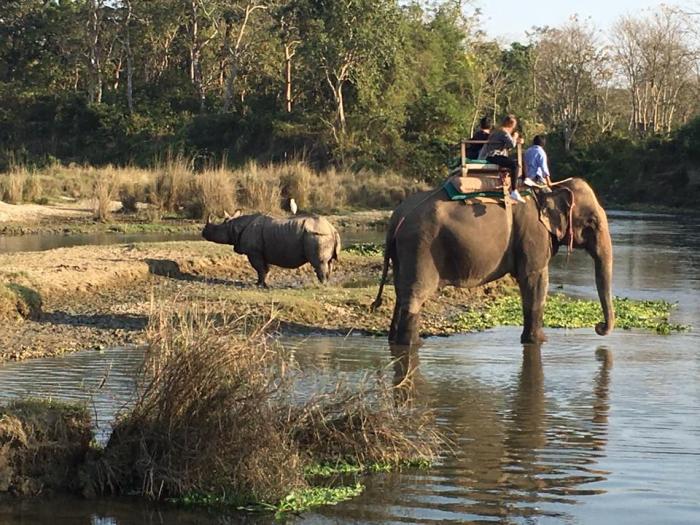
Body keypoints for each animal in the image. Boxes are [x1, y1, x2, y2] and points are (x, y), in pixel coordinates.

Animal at [202, 212, 342, 288]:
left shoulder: (254, 252)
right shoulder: (264, 252)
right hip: (323, 235)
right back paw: (326, 284)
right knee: (329, 263)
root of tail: (332, 229)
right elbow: (265, 269)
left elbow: (259, 268)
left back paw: (321, 285)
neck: (233, 226)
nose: (203, 232)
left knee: (319, 263)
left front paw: (258, 285)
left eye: (215, 229)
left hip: (317, 235)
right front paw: (263, 283)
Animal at [372, 178, 612, 346]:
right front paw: (539, 341)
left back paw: (394, 340)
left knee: (401, 292)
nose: (598, 327)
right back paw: (414, 343)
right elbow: (535, 280)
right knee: (416, 294)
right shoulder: (533, 234)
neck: (549, 188)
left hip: (403, 251)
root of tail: (397, 218)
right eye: (592, 222)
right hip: (420, 246)